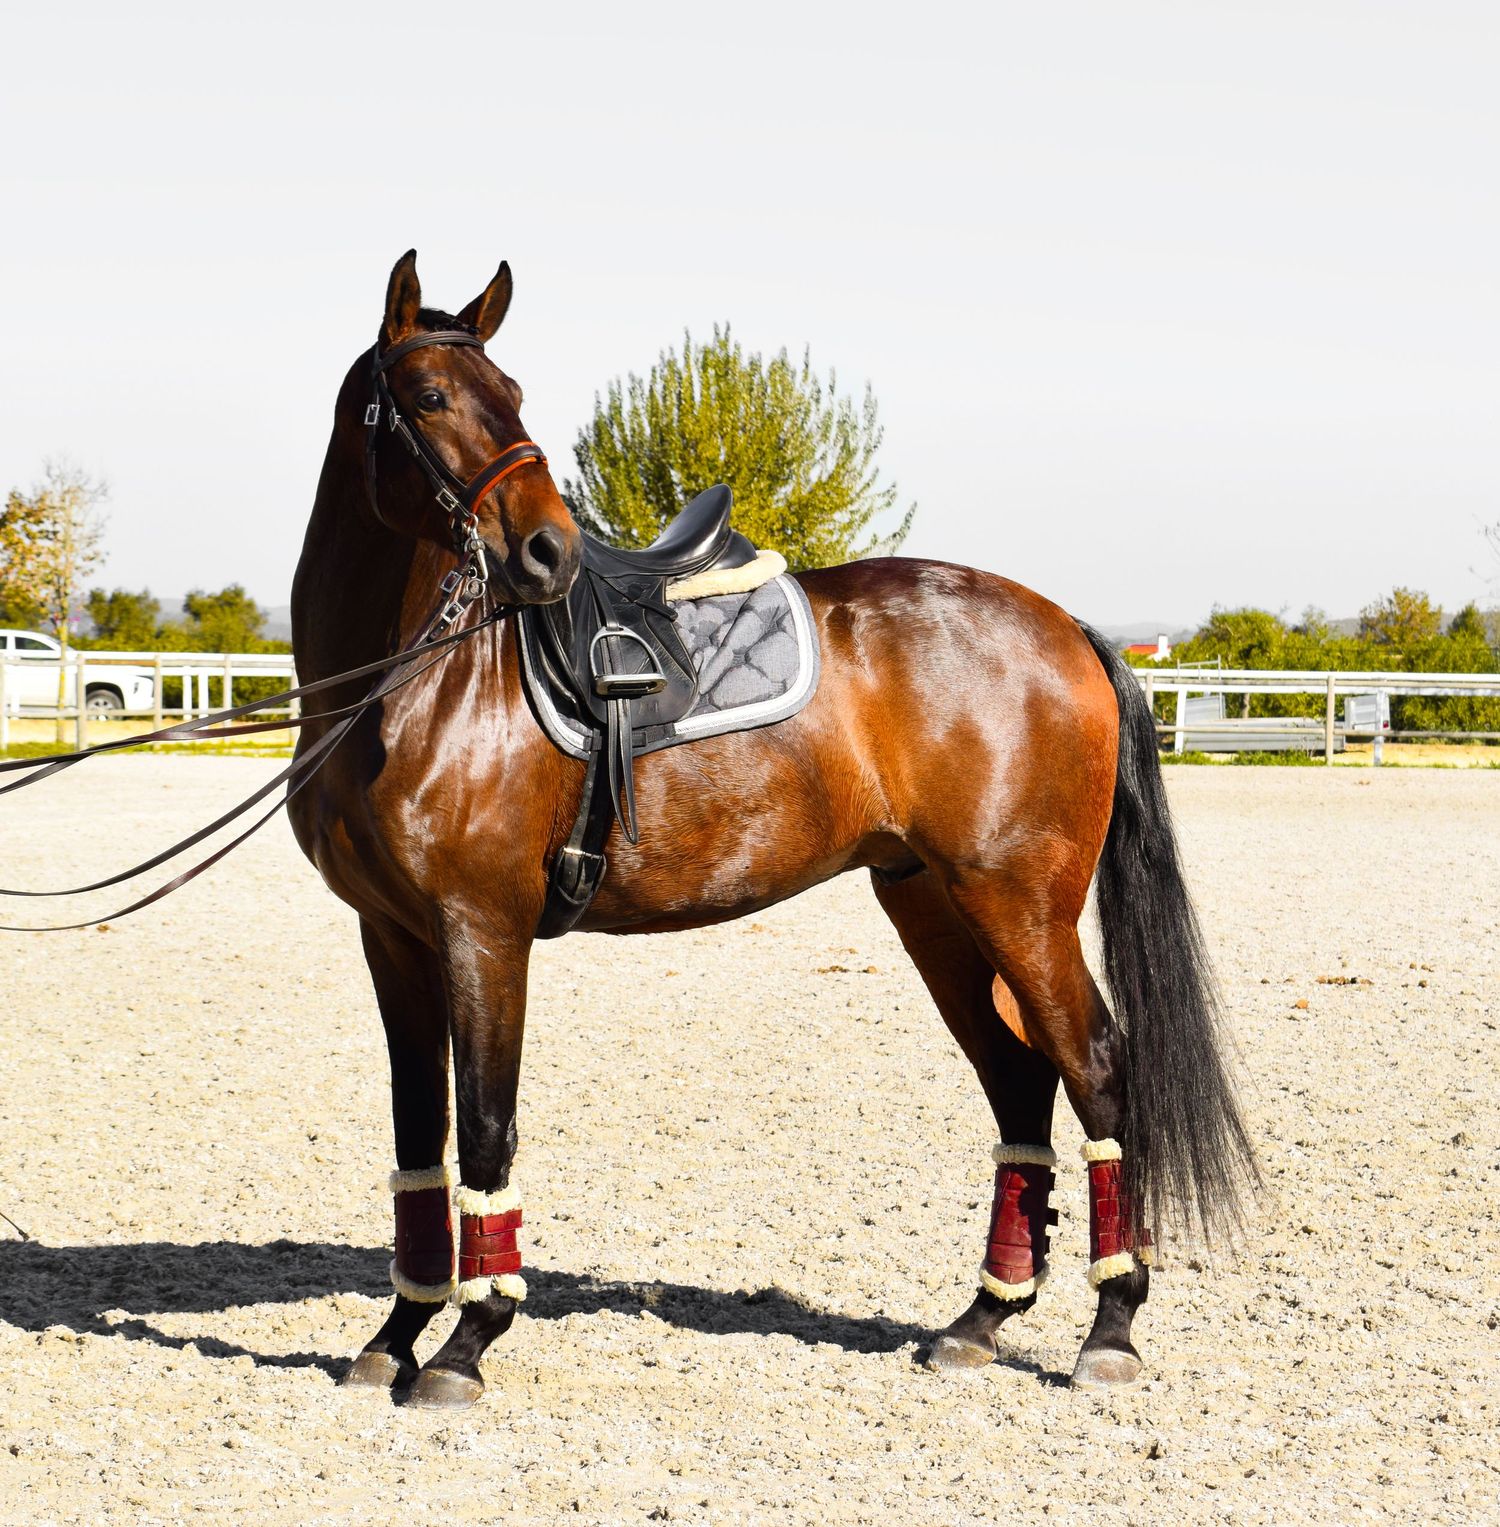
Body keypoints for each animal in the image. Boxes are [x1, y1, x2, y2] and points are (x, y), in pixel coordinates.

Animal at [288, 251, 1254, 1410]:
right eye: (431, 398)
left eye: (511, 395)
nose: (546, 552)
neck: (421, 688)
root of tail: (1065, 623)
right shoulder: (392, 936)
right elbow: (417, 1131)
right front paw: (397, 1332)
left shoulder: (484, 929)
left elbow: (484, 1126)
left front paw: (467, 1343)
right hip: (935, 907)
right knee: (1022, 1082)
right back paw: (981, 1317)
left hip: (1020, 905)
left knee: (1097, 1068)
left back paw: (1110, 1328)